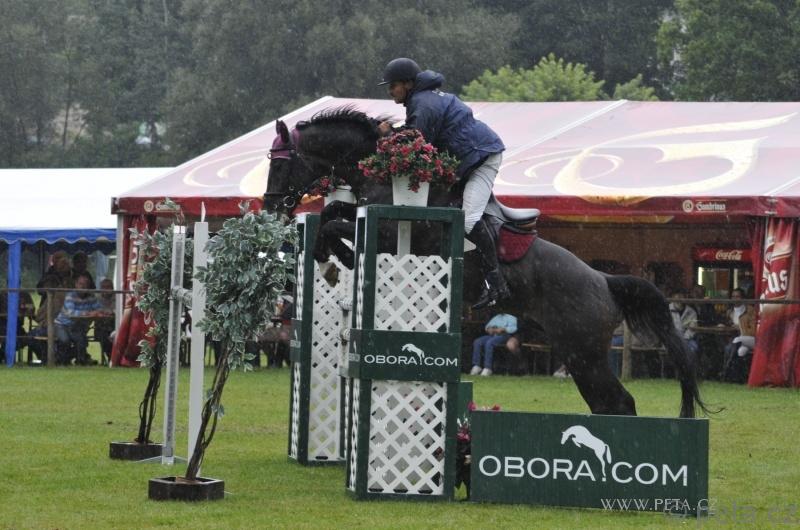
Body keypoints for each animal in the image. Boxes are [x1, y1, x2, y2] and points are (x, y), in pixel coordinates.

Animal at [263, 107, 711, 419]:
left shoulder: (397, 234)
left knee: (618, 401)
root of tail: (604, 280)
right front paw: (328, 255)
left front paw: (334, 254)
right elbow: (334, 212)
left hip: (583, 351)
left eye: (280, 162)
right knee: (609, 403)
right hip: (577, 351)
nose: (272, 209)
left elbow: (335, 222)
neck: (387, 170)